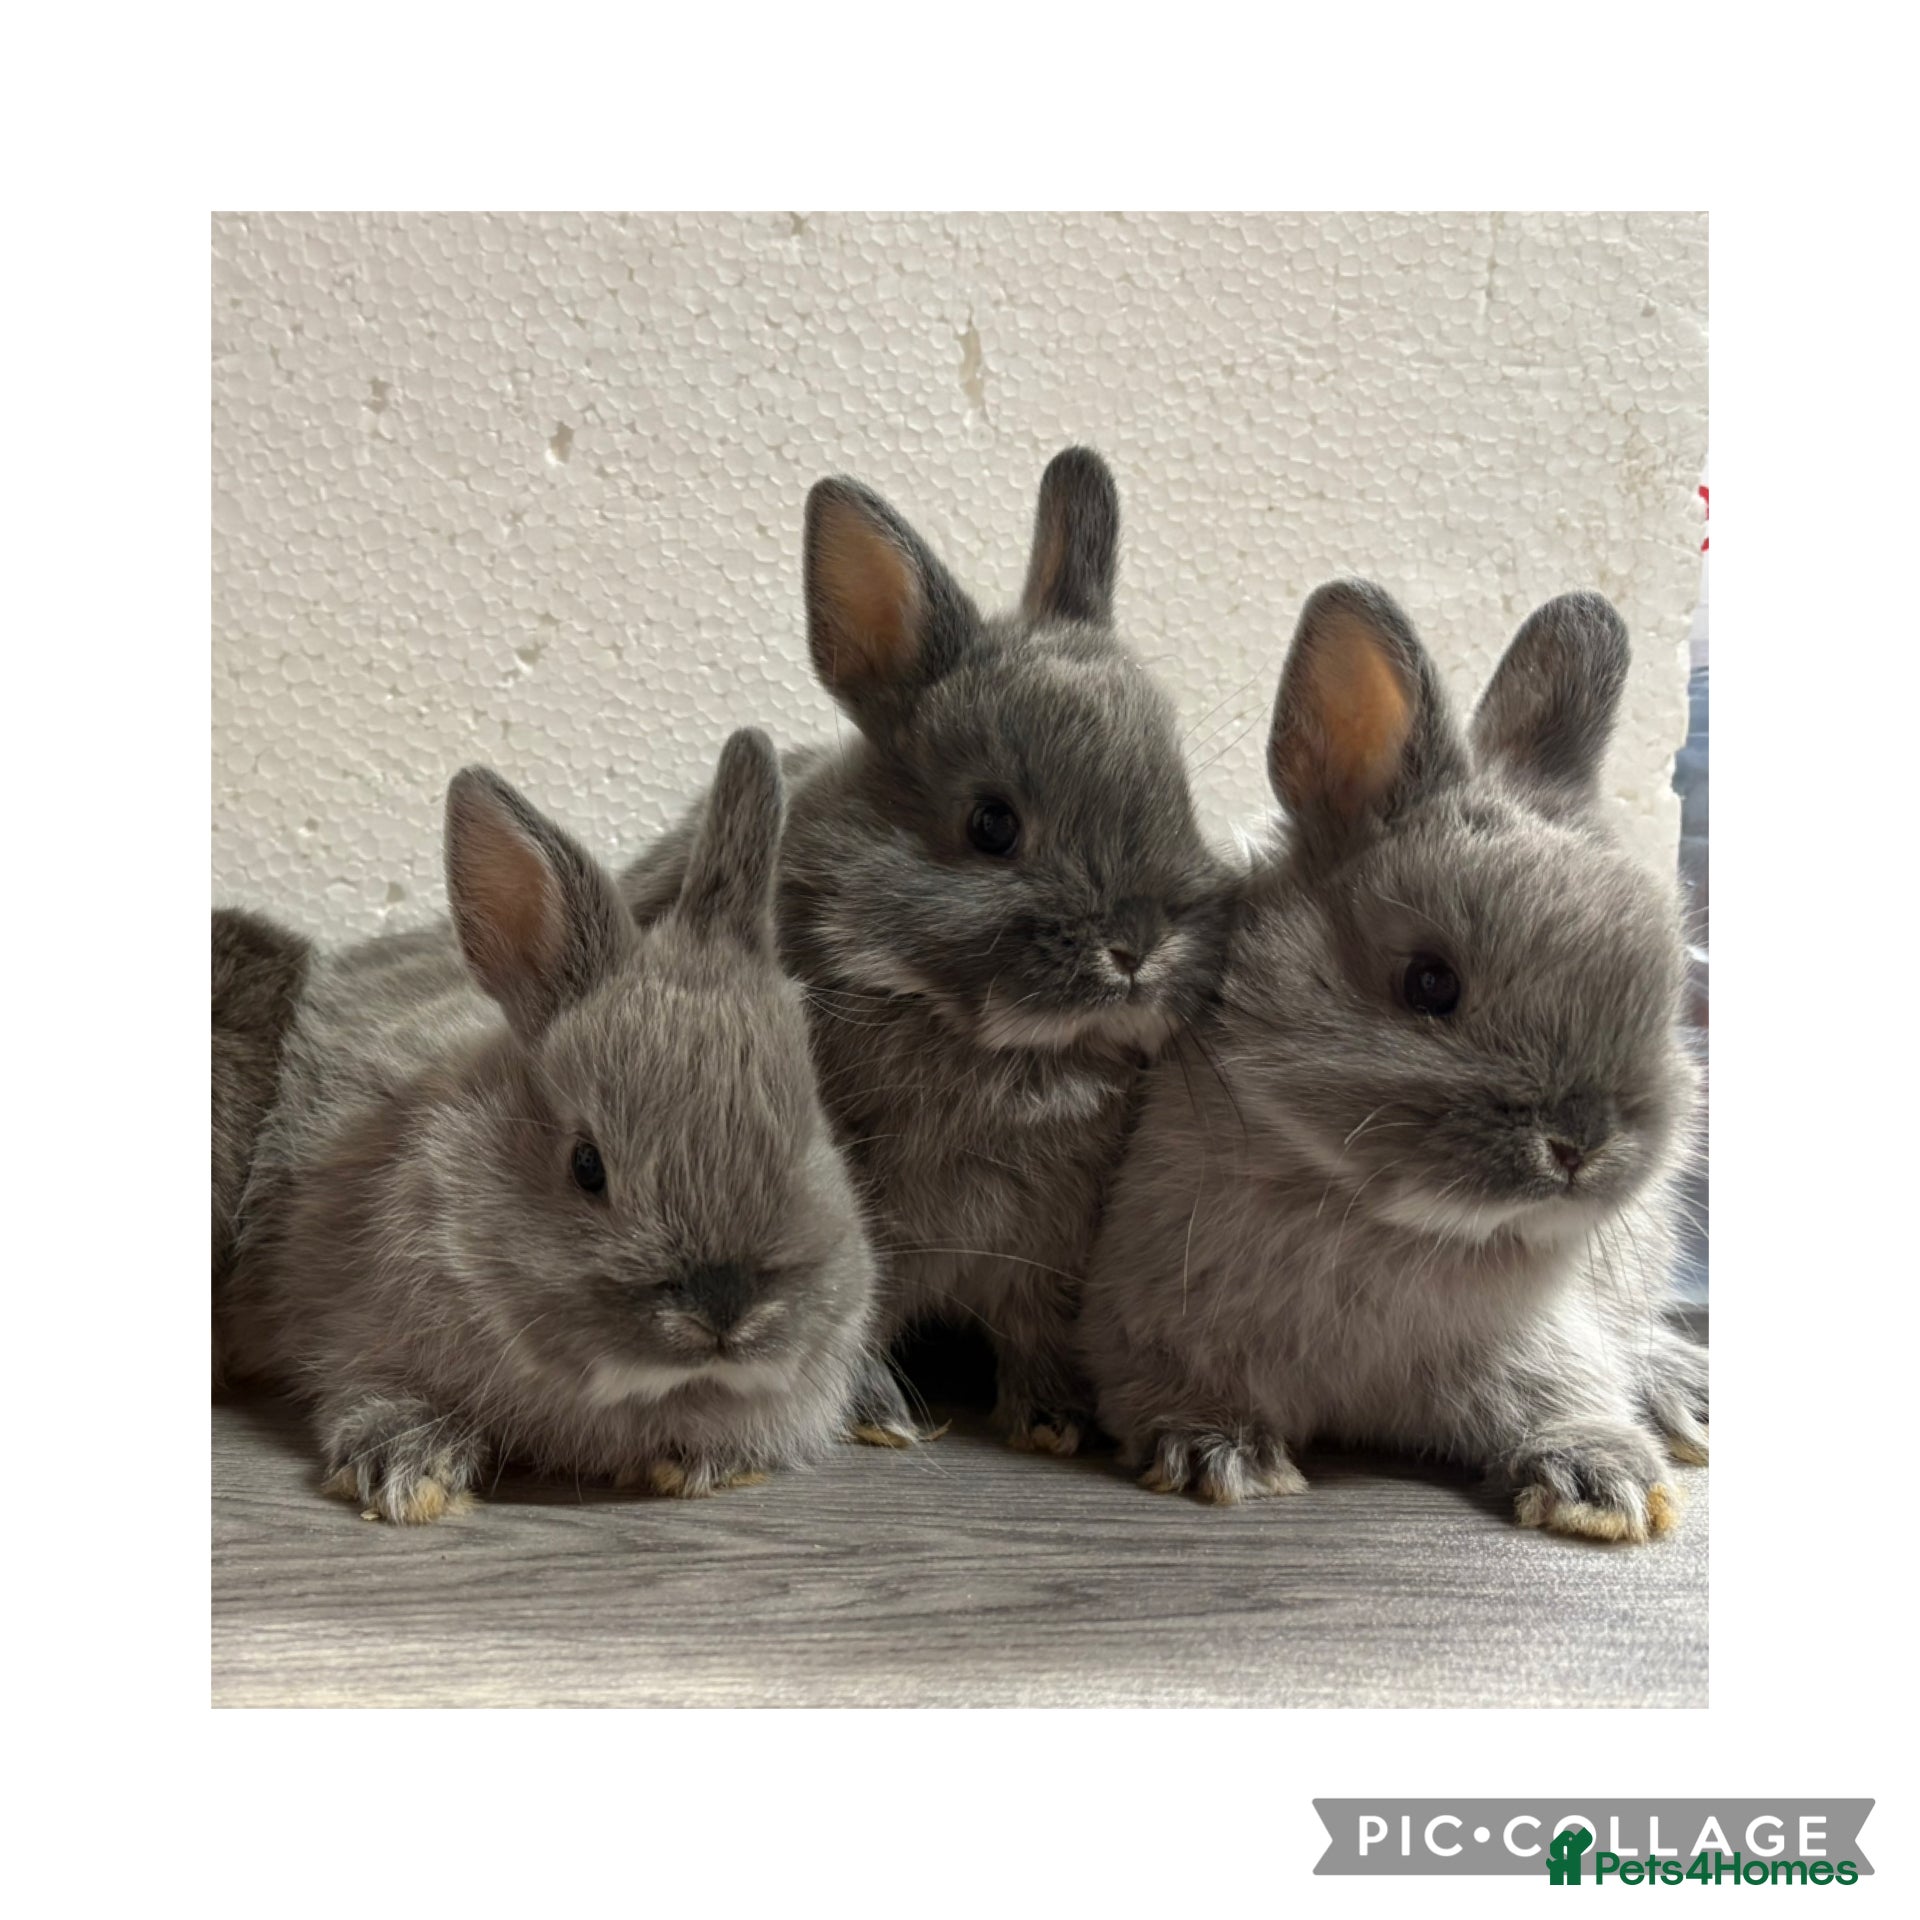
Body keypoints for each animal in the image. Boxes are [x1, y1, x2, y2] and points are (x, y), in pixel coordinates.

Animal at [219, 729, 881, 1521]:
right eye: (585, 1164)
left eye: (814, 1137)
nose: (724, 1310)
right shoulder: (343, 1321)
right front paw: (409, 1468)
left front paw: (703, 1464)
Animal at [622, 450, 1235, 1451]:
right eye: (992, 826)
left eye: (1180, 798)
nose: (1140, 948)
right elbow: (860, 1326)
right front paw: (877, 1416)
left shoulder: (1046, 1259)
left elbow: (1033, 1332)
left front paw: (1054, 1421)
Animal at [1077, 581, 1708, 1542]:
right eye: (1429, 983)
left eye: (1668, 990)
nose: (1582, 1146)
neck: (1397, 1222)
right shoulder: (1150, 1322)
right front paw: (1219, 1454)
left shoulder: (1543, 1345)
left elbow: (1562, 1391)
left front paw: (1606, 1486)